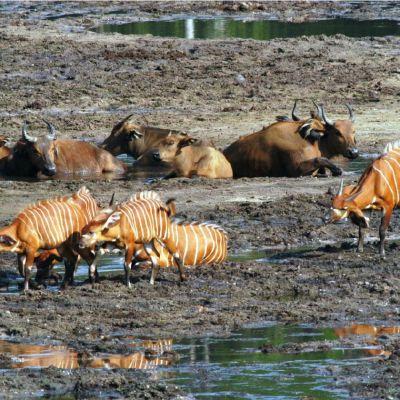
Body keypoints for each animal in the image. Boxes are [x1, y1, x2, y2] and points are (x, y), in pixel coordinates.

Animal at [223, 101, 358, 177]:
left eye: (353, 131)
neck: (313, 141)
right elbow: (320, 160)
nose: (354, 152)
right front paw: (337, 170)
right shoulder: (296, 169)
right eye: (337, 132)